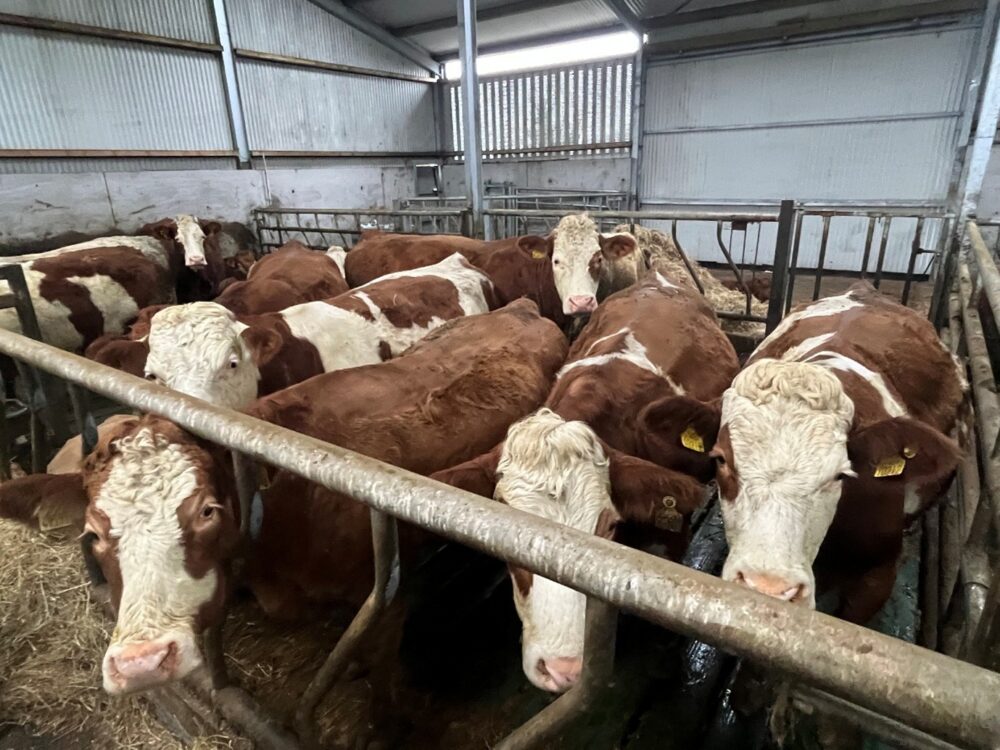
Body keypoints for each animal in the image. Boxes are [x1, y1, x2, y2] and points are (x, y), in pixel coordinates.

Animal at [0, 299, 568, 694]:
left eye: (207, 511)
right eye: (93, 533)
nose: (142, 663)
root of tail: (519, 308)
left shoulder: (388, 596)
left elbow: (380, 686)